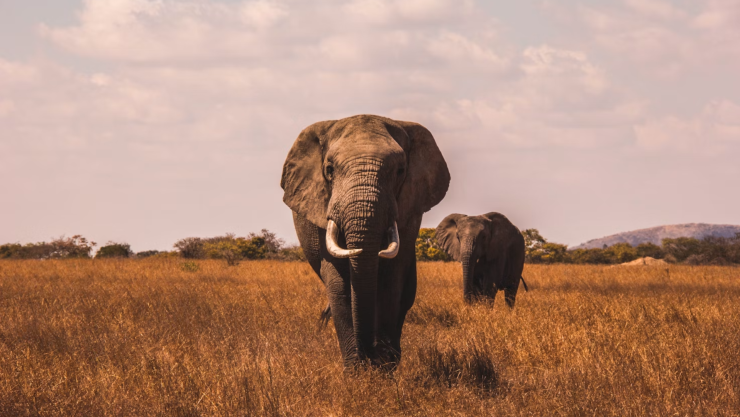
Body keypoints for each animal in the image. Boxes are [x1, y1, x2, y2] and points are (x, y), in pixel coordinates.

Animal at [280, 115, 450, 368]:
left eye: (400, 171)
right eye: (329, 170)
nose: (370, 355)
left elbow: (391, 280)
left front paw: (383, 367)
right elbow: (340, 283)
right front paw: (357, 370)